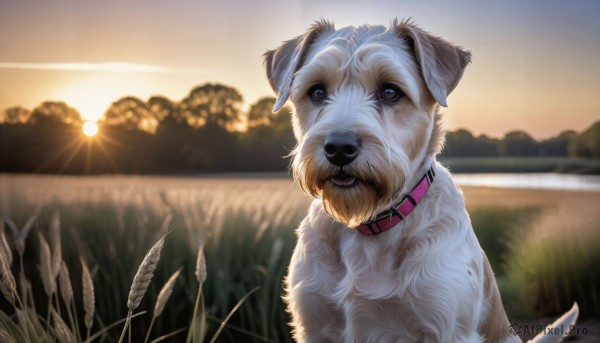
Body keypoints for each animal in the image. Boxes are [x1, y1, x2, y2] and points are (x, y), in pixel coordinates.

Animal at [264, 19, 576, 343]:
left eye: (390, 91)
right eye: (317, 91)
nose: (338, 148)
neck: (371, 225)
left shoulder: (444, 327)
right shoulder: (313, 324)